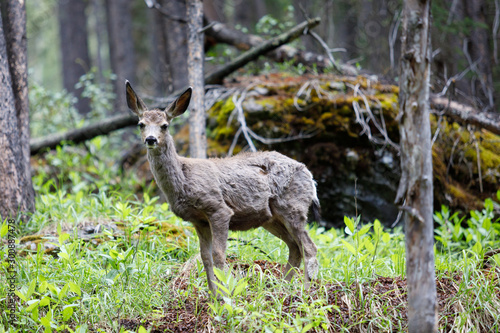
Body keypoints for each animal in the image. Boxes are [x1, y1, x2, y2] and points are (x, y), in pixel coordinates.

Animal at [125, 81, 320, 296]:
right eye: (141, 124)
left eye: (165, 125)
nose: (151, 139)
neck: (183, 181)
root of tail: (310, 177)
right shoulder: (199, 220)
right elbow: (205, 257)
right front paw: (213, 296)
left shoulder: (218, 209)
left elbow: (219, 255)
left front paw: (226, 294)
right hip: (271, 218)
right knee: (295, 247)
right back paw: (281, 289)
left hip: (293, 207)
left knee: (309, 247)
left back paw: (305, 292)